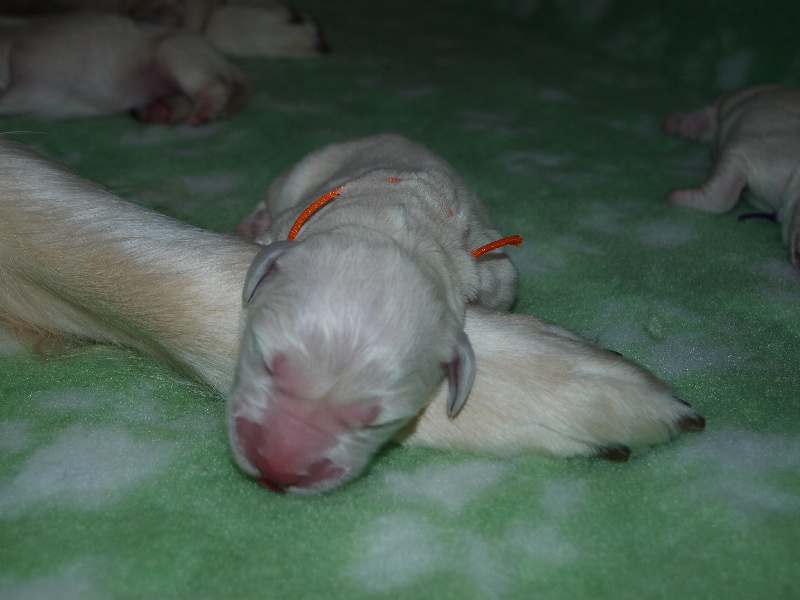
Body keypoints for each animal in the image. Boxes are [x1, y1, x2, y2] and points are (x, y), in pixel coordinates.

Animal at [0, 139, 704, 495]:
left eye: (380, 418)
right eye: (263, 364)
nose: (280, 471)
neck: (391, 224)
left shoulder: (488, 266)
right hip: (294, 175)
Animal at [663, 84, 800, 269]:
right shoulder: (754, 154)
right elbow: (724, 197)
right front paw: (675, 195)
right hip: (735, 99)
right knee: (711, 113)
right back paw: (678, 123)